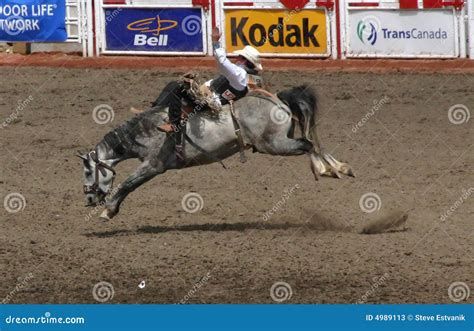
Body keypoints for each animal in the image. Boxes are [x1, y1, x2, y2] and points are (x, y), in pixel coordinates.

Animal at [77, 84, 352, 222]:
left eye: (88, 171)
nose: (88, 198)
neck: (150, 129)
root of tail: (278, 99)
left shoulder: (153, 166)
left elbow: (127, 184)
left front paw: (108, 210)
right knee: (312, 143)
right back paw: (339, 168)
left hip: (274, 144)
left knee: (307, 144)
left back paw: (325, 169)